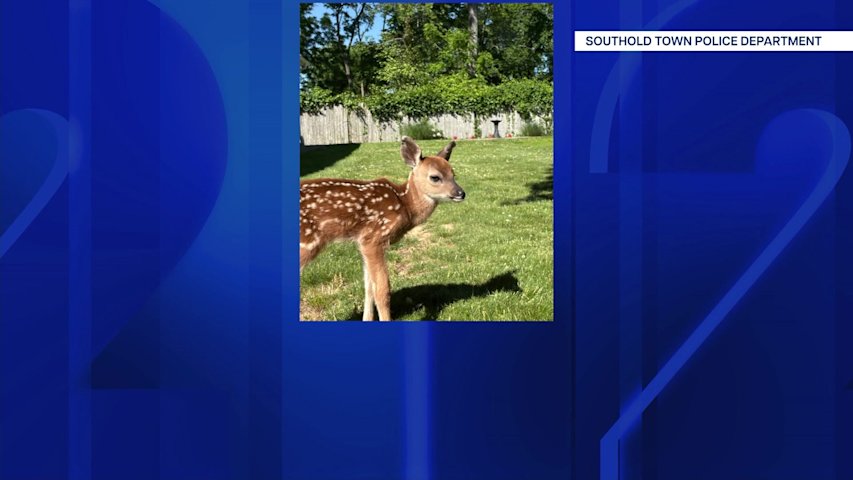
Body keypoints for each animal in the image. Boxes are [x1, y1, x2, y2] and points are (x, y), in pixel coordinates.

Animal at [300, 137, 465, 321]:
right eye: (435, 177)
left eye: (453, 174)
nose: (461, 193)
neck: (405, 206)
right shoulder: (374, 237)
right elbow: (382, 290)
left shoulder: (362, 241)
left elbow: (369, 287)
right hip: (306, 242)